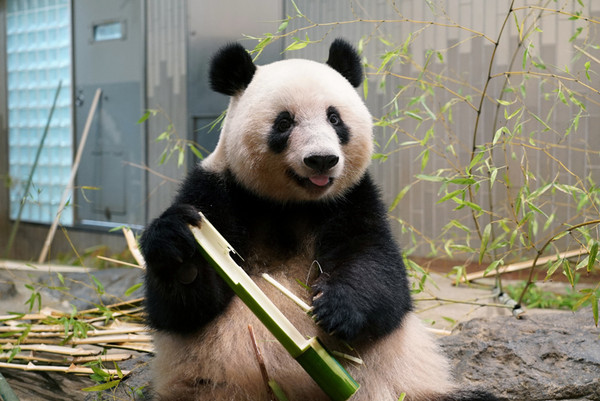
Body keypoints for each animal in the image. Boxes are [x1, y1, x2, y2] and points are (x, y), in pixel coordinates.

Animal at [141, 39, 496, 400]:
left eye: (334, 118)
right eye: (284, 122)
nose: (322, 160)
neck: (291, 204)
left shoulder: (353, 198)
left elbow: (379, 270)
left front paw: (336, 309)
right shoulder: (218, 189)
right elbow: (181, 310)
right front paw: (177, 245)